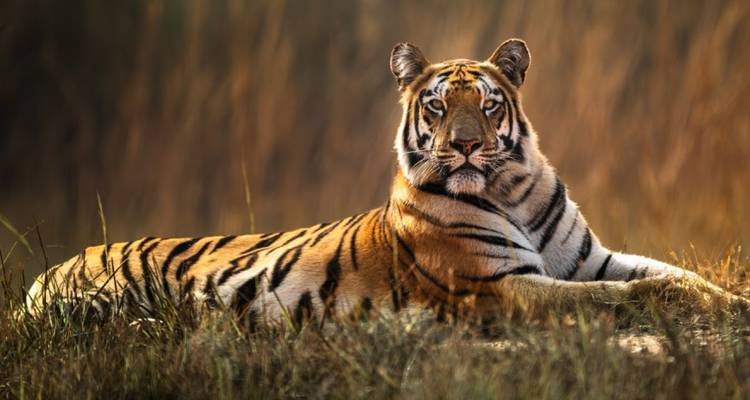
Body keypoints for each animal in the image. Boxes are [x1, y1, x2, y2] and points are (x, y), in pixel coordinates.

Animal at [25, 38, 744, 323]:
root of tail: (50, 268)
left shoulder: (591, 259)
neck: (510, 191)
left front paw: (730, 301)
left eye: (487, 104)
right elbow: (626, 295)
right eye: (437, 106)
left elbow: (676, 274)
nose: (464, 146)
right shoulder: (500, 286)